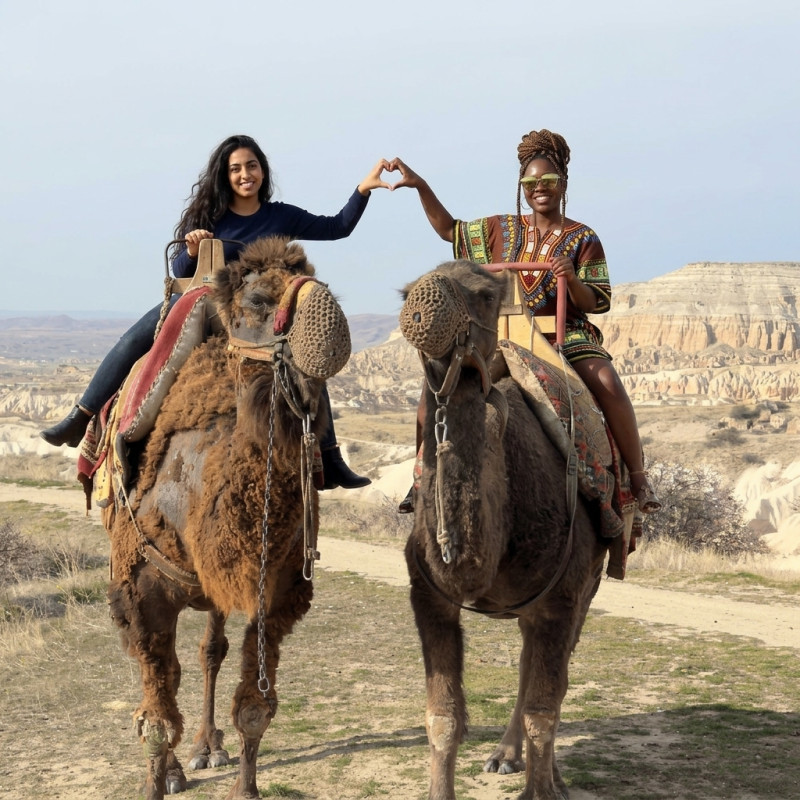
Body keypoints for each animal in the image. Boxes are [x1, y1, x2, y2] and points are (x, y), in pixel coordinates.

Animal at [103, 237, 350, 800]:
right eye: (259, 299)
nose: (330, 328)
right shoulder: (142, 590)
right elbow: (155, 719)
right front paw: (159, 777)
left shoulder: (276, 591)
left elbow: (255, 708)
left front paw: (245, 785)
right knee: (164, 673)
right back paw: (179, 766)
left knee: (209, 649)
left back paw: (207, 745)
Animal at [400, 260, 611, 800]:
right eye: (404, 293)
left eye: (485, 295)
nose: (423, 308)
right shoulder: (427, 594)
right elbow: (442, 717)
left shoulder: (560, 598)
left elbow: (544, 709)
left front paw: (542, 791)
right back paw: (507, 757)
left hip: (587, 583)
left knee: (554, 679)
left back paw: (544, 771)